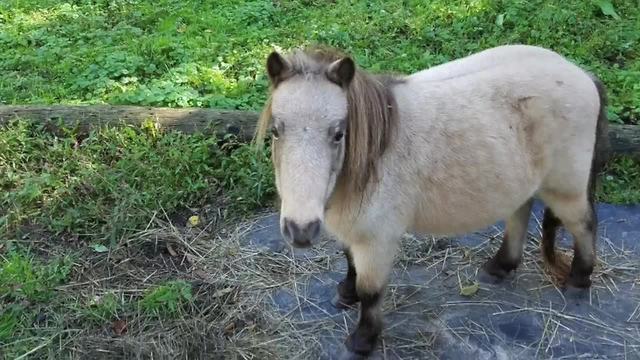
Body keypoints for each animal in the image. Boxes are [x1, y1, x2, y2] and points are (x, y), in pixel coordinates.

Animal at [252, 44, 608, 358]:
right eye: (276, 131)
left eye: (338, 133)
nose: (300, 231)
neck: (374, 155)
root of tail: (583, 75)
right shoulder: (355, 231)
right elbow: (349, 261)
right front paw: (345, 293)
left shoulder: (376, 239)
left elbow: (371, 292)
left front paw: (363, 340)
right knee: (519, 214)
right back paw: (499, 267)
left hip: (565, 190)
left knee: (583, 225)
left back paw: (578, 280)